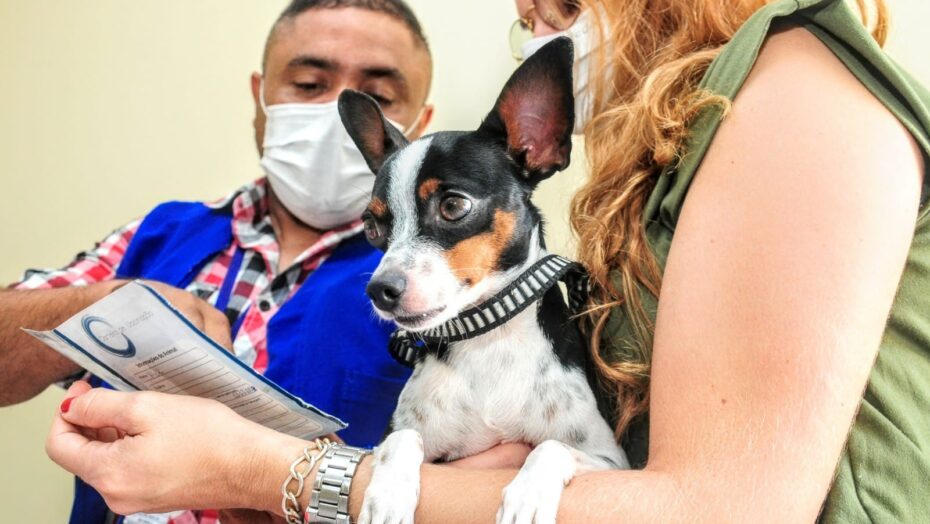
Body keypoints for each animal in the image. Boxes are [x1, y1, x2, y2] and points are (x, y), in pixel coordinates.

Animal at [338, 37, 628, 524]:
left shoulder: (611, 460)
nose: (380, 291)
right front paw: (387, 494)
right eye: (372, 227)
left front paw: (527, 496)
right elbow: (401, 440)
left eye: (454, 206)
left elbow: (551, 447)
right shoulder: (404, 438)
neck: (488, 340)